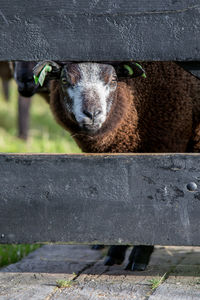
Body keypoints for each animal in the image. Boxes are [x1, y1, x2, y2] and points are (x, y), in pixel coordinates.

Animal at [33, 59, 200, 270]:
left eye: (113, 80)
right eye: (64, 80)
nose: (92, 114)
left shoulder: (167, 152)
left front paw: (139, 258)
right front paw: (115, 254)